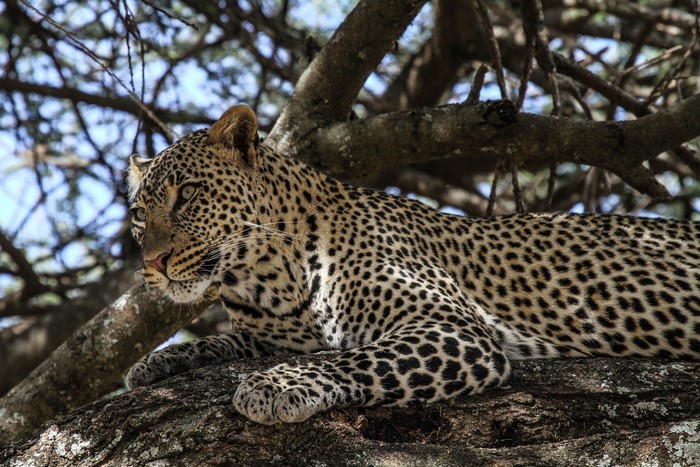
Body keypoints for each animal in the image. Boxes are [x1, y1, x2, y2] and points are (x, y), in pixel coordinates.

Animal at [126, 104, 700, 425]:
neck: (263, 278)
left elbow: (351, 358)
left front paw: (274, 387)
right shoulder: (271, 337)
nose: (154, 261)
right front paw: (155, 363)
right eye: (138, 214)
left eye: (187, 194)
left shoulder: (450, 326)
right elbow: (226, 342)